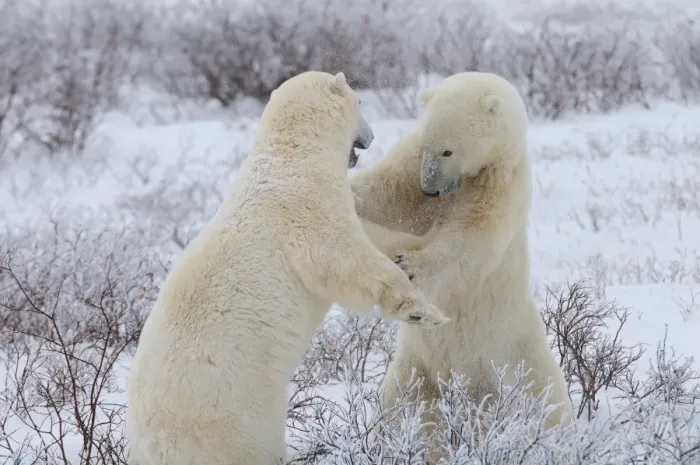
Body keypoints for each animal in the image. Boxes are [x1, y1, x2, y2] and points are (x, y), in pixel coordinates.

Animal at [125, 71, 449, 465]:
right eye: (360, 102)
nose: (371, 135)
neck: (293, 154)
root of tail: (150, 442)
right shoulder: (306, 208)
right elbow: (345, 258)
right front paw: (423, 311)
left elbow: (370, 234)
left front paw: (415, 247)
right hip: (234, 422)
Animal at [351, 71, 574, 458]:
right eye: (427, 145)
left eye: (448, 150)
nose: (428, 188)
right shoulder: (409, 168)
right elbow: (383, 194)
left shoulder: (500, 189)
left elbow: (467, 243)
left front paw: (410, 265)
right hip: (416, 367)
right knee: (404, 406)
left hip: (513, 360)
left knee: (541, 407)